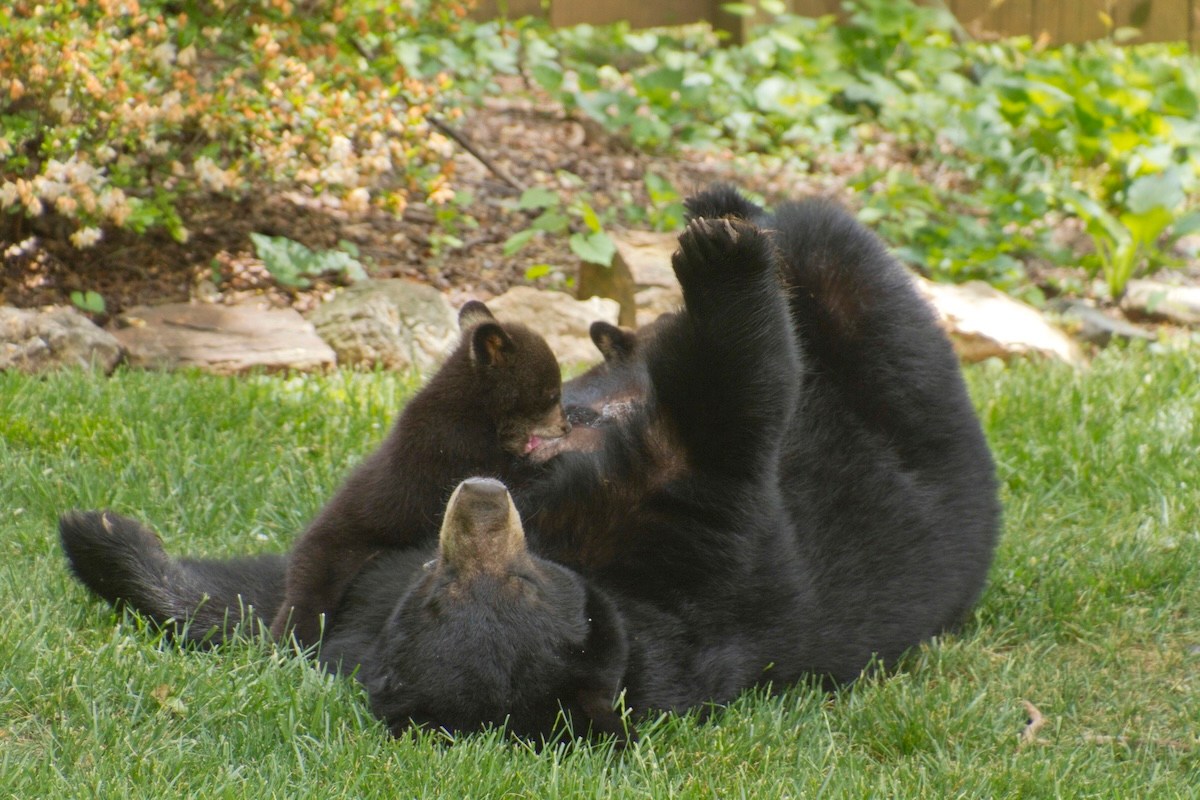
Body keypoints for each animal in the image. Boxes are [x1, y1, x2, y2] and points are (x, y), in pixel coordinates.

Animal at [270, 299, 570, 648]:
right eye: (551, 394)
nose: (566, 426)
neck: (476, 411)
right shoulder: (452, 449)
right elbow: (504, 476)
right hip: (329, 562)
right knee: (305, 605)